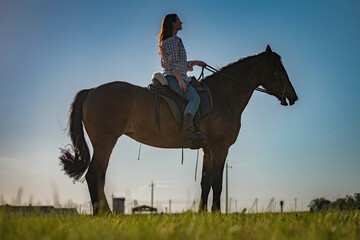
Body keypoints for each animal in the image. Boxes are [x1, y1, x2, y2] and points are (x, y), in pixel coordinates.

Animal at [59, 45, 298, 214]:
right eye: (278, 71)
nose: (293, 96)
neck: (224, 95)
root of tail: (91, 91)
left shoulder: (208, 150)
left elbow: (205, 183)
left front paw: (203, 215)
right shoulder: (220, 148)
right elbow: (217, 183)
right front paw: (217, 214)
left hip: (106, 144)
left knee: (100, 177)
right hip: (105, 143)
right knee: (94, 176)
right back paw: (104, 215)